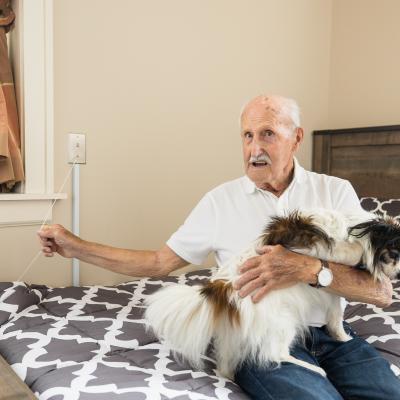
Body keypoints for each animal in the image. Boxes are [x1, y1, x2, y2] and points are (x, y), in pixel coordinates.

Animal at [145, 209, 400, 378]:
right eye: (395, 254)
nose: (397, 274)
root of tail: (223, 289)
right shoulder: (313, 243)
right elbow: (349, 250)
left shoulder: (332, 295)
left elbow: (336, 320)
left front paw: (343, 338)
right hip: (284, 321)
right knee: (275, 355)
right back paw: (316, 369)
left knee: (226, 363)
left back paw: (228, 378)